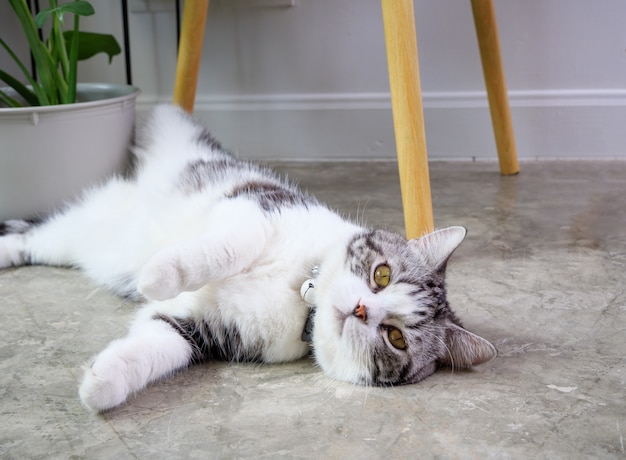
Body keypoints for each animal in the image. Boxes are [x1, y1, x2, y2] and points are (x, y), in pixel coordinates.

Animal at [0, 105, 498, 414]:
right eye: (381, 274)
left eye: (395, 338)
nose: (361, 309)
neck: (299, 295)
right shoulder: (256, 208)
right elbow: (226, 248)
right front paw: (160, 274)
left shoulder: (202, 329)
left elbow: (153, 345)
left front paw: (100, 385)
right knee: (34, 230)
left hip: (86, 239)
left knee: (37, 238)